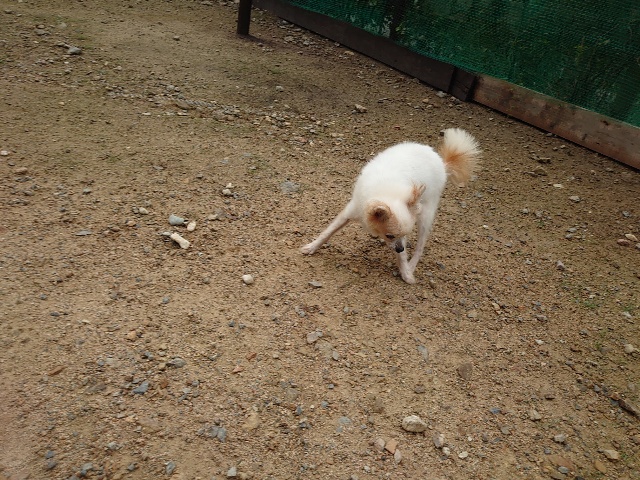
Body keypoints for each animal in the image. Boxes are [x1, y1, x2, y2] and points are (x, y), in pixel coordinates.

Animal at [300, 128, 480, 284]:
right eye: (390, 235)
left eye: (404, 235)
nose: (400, 248)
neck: (387, 195)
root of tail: (441, 162)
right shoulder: (352, 211)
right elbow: (328, 232)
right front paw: (311, 247)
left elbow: (403, 257)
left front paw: (406, 272)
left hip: (426, 214)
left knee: (420, 246)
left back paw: (412, 265)